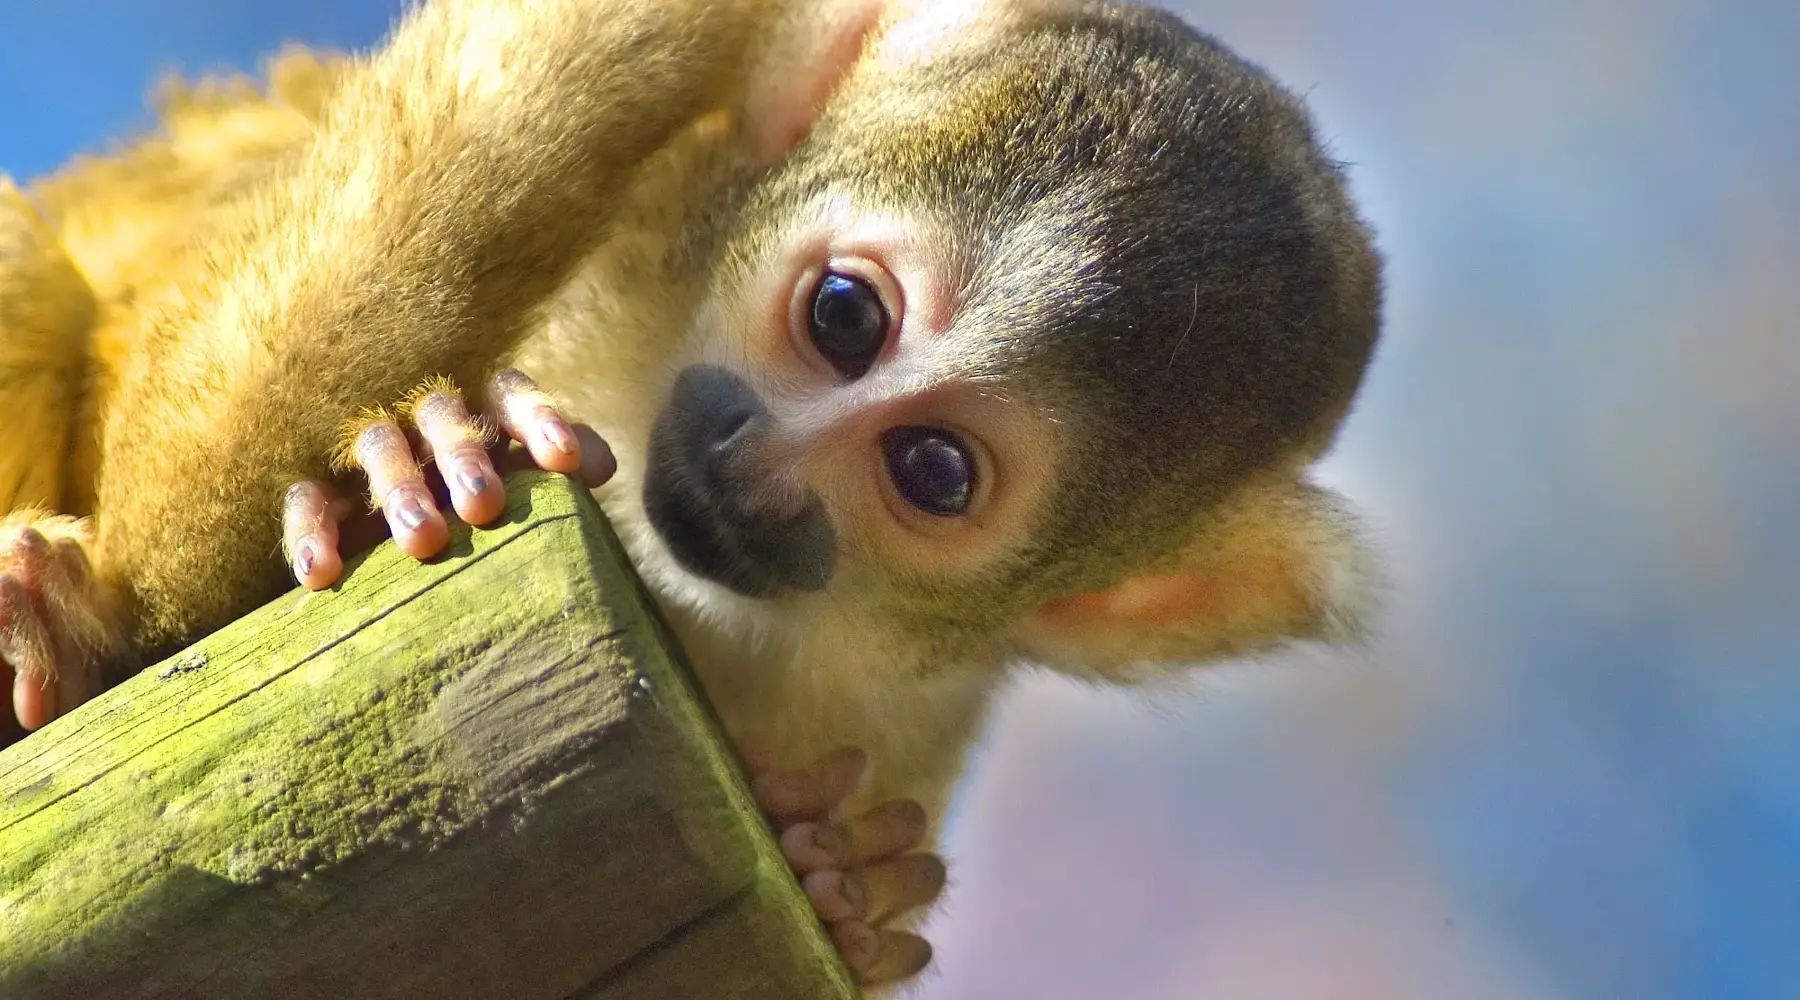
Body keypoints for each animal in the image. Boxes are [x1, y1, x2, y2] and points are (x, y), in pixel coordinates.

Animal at [0, 0, 1383, 989]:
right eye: (845, 315)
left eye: (933, 472)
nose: (747, 467)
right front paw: (401, 460)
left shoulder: (908, 720)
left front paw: (844, 882)